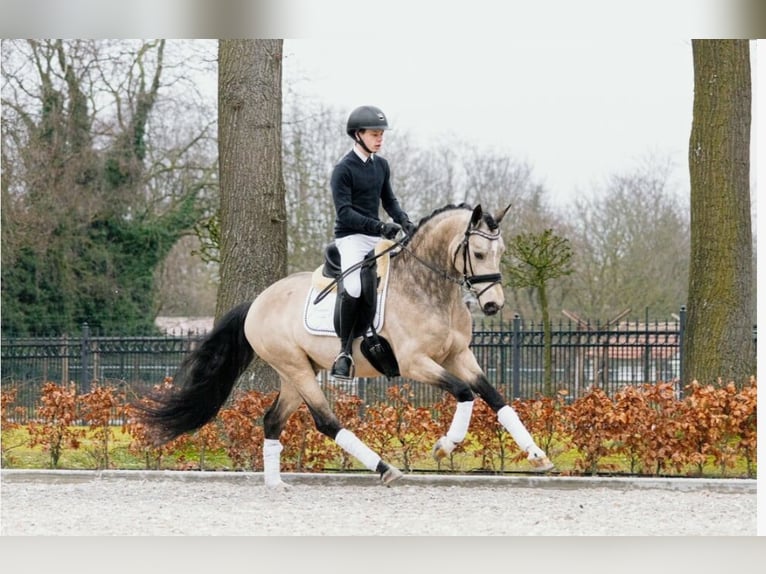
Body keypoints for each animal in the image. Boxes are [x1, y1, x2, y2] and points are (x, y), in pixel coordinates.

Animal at [138, 205, 556, 488]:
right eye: (480, 254)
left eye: (501, 253)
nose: (493, 305)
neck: (427, 288)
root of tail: (257, 302)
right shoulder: (415, 363)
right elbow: (465, 393)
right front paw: (444, 446)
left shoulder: (459, 355)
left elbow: (496, 398)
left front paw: (537, 455)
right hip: (296, 369)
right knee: (326, 421)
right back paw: (385, 469)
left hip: (297, 373)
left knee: (273, 420)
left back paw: (275, 483)